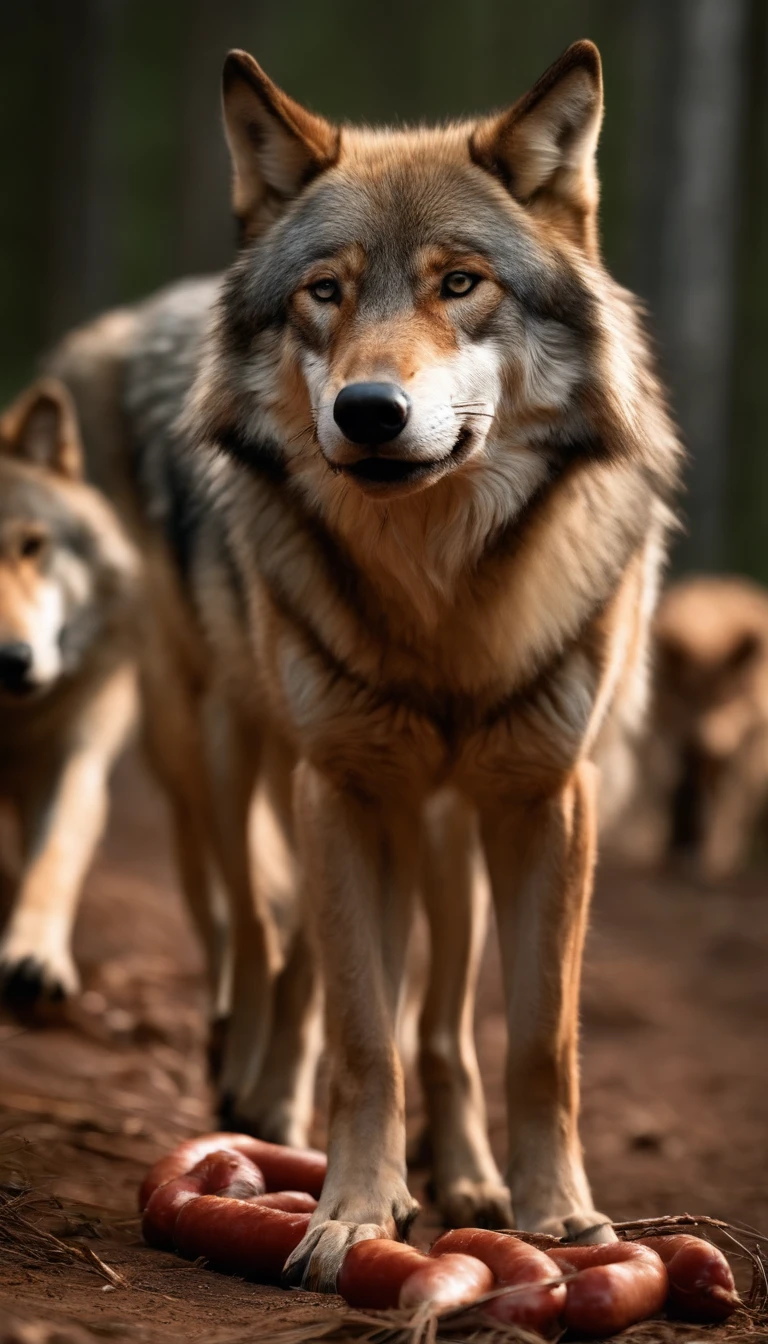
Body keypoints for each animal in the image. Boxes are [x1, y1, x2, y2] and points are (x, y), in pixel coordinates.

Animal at [51, 36, 683, 1284]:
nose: (370, 410)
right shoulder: (340, 785)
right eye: (325, 291)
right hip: (226, 753)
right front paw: (351, 1209)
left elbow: (536, 1041)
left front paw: (556, 1215)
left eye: (461, 285)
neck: (441, 603)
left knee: (431, 1014)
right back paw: (256, 1089)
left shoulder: (545, 799)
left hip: (440, 822)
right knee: (257, 935)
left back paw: (467, 1173)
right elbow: (359, 1026)